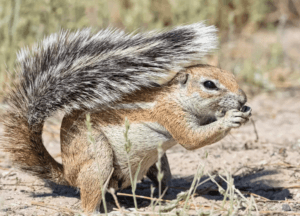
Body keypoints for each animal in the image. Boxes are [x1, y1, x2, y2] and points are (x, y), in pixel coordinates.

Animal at [1, 22, 252, 213]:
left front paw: (242, 112)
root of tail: (68, 174)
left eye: (231, 75)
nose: (243, 99)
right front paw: (230, 118)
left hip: (158, 162)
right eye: (209, 84)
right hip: (98, 156)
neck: (176, 96)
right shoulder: (170, 113)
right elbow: (192, 139)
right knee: (88, 201)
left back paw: (159, 200)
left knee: (159, 180)